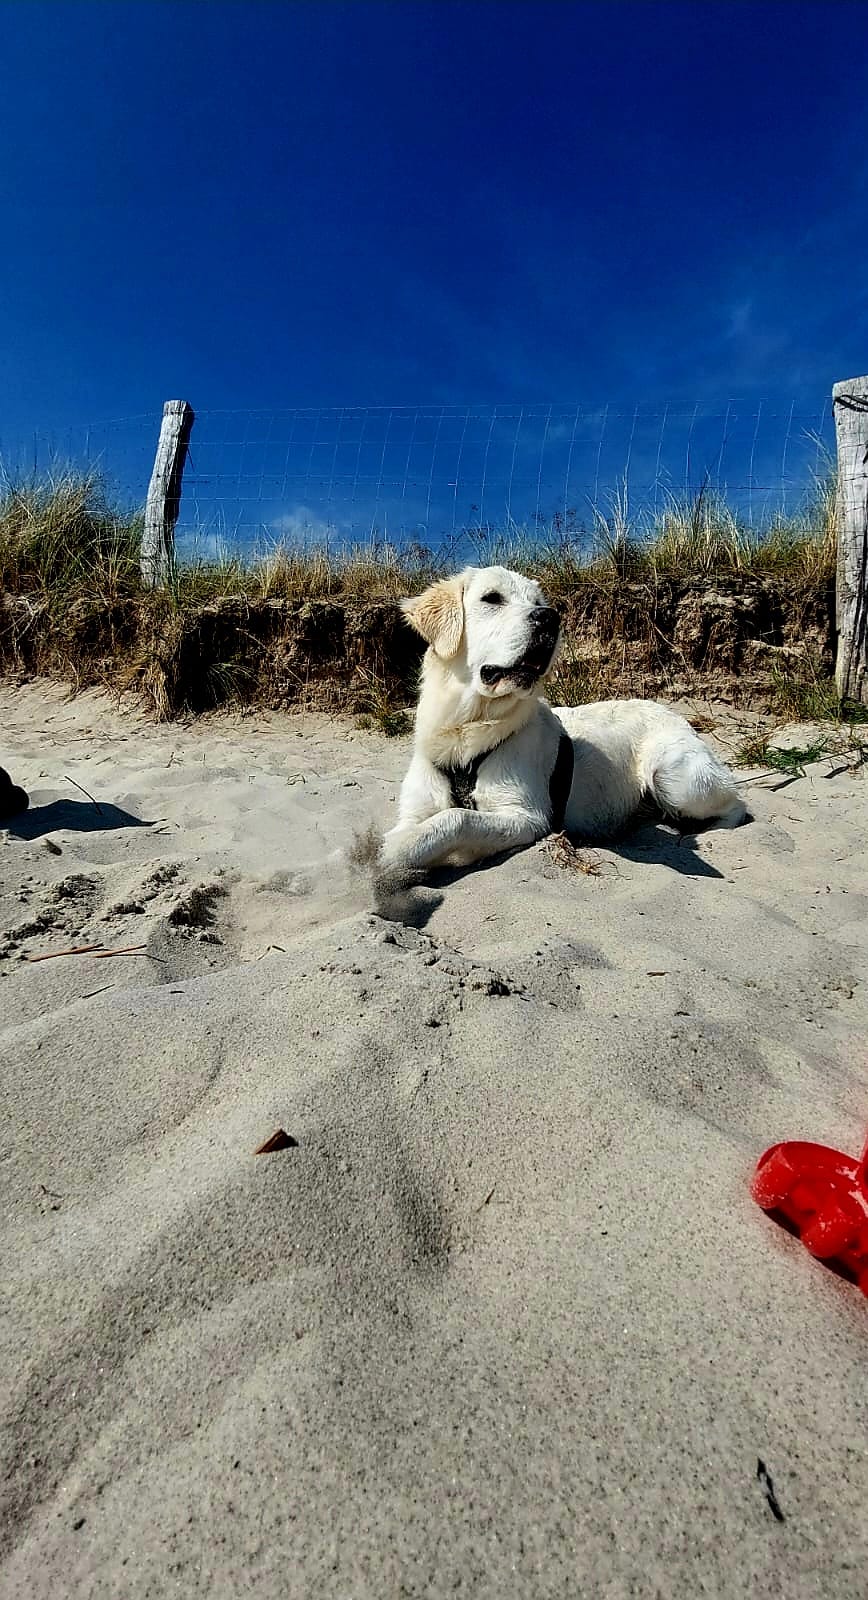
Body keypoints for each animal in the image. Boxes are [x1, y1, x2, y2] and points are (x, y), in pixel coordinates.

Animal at [384, 556, 752, 870]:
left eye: (538, 602)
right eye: (492, 598)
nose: (550, 617)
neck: (465, 728)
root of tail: (672, 712)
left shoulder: (526, 817)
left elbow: (455, 818)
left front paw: (382, 856)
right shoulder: (416, 810)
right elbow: (422, 826)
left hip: (673, 776)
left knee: (737, 804)